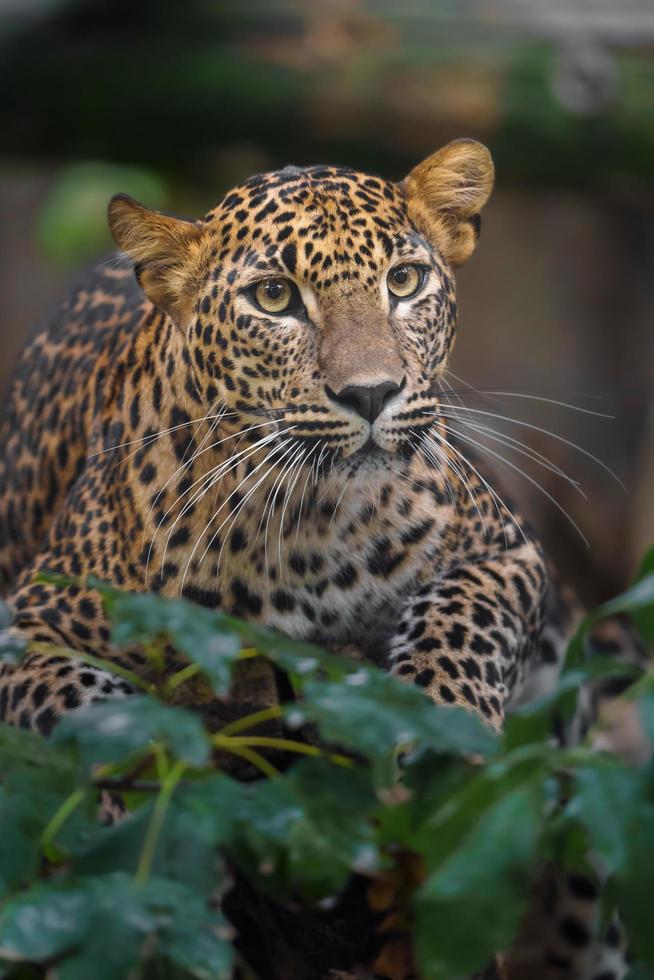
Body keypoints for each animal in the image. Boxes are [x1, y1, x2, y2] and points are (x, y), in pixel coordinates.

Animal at [0, 140, 636, 980]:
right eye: (274, 297)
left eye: (405, 282)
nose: (371, 394)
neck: (313, 521)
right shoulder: (30, 627)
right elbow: (94, 717)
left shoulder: (502, 553)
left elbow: (460, 629)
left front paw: (434, 744)